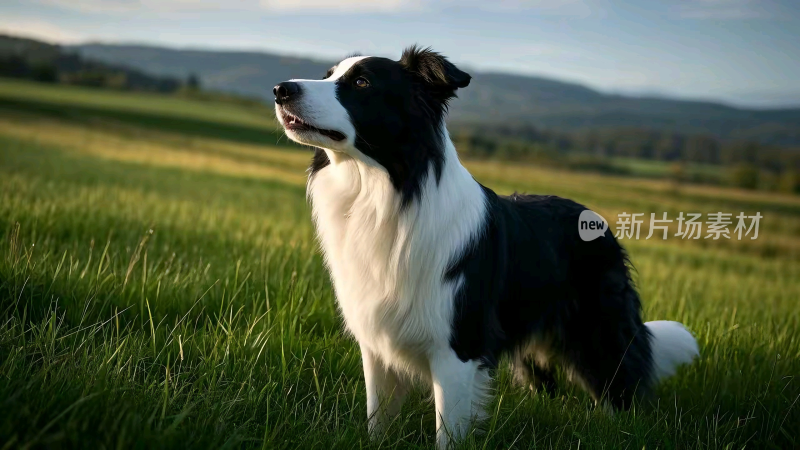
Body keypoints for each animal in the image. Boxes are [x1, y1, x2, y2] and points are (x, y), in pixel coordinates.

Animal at [272, 44, 696, 446]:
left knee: (621, 389)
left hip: (598, 334)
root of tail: (595, 218)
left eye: (362, 83)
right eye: (327, 75)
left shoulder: (459, 344)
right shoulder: (376, 341)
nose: (280, 89)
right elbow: (377, 416)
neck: (385, 192)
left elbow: (448, 431)